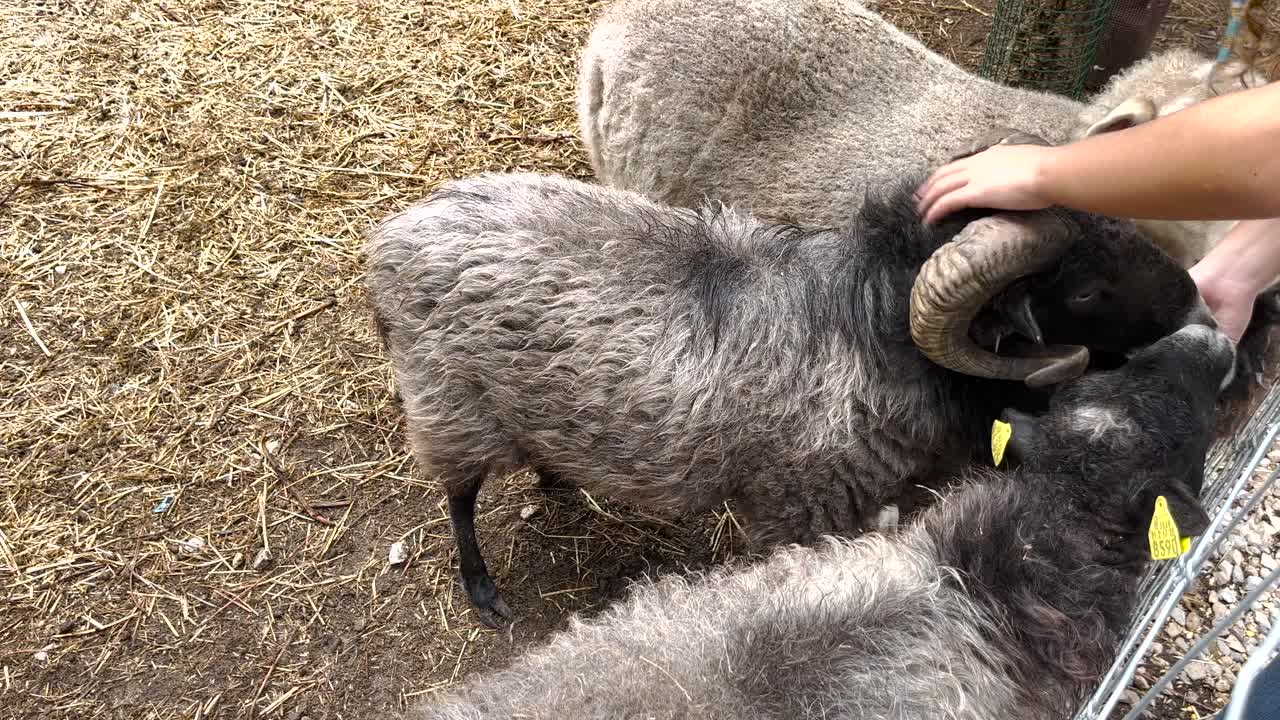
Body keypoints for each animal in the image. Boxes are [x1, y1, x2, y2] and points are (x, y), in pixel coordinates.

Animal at [364, 171, 1215, 627]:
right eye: (1085, 288)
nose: (1199, 306)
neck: (868, 326)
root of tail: (391, 240)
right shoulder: (798, 506)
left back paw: (558, 478)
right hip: (448, 405)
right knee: (458, 497)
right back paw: (483, 590)